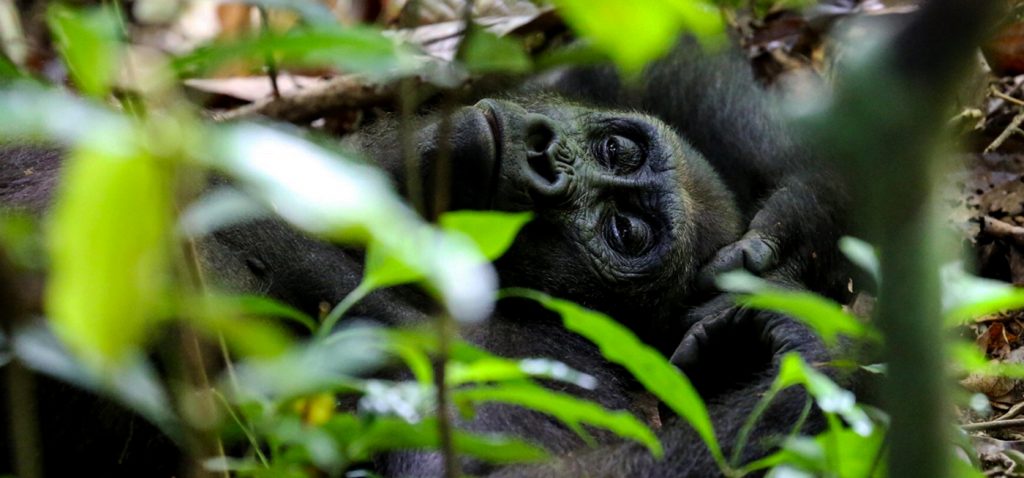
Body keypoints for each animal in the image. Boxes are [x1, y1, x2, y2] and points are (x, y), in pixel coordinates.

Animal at [0, 35, 847, 478]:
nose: (543, 157)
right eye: (616, 148)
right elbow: (630, 50)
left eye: (625, 233)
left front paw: (799, 358)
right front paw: (802, 217)